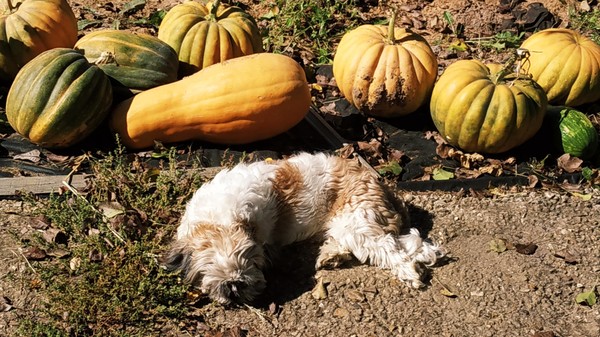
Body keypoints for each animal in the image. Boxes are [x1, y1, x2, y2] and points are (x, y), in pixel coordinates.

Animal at [162, 152, 442, 304]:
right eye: (209, 270)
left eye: (250, 265)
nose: (235, 286)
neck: (218, 221)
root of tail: (381, 185)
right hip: (348, 225)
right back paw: (332, 256)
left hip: (357, 220)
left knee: (390, 249)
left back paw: (410, 273)